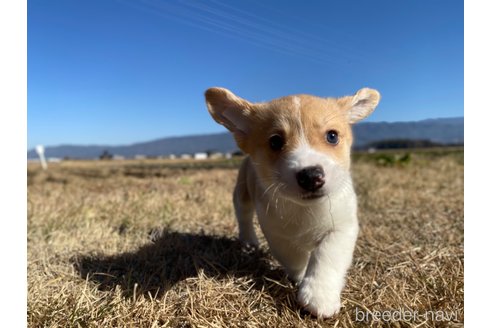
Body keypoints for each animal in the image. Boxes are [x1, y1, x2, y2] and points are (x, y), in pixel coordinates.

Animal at [204, 87, 380, 318]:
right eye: (275, 141)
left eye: (332, 136)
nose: (311, 176)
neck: (307, 209)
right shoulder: (277, 234)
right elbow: (294, 257)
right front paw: (302, 275)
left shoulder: (342, 227)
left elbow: (327, 256)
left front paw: (319, 296)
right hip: (241, 194)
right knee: (244, 217)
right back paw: (249, 241)